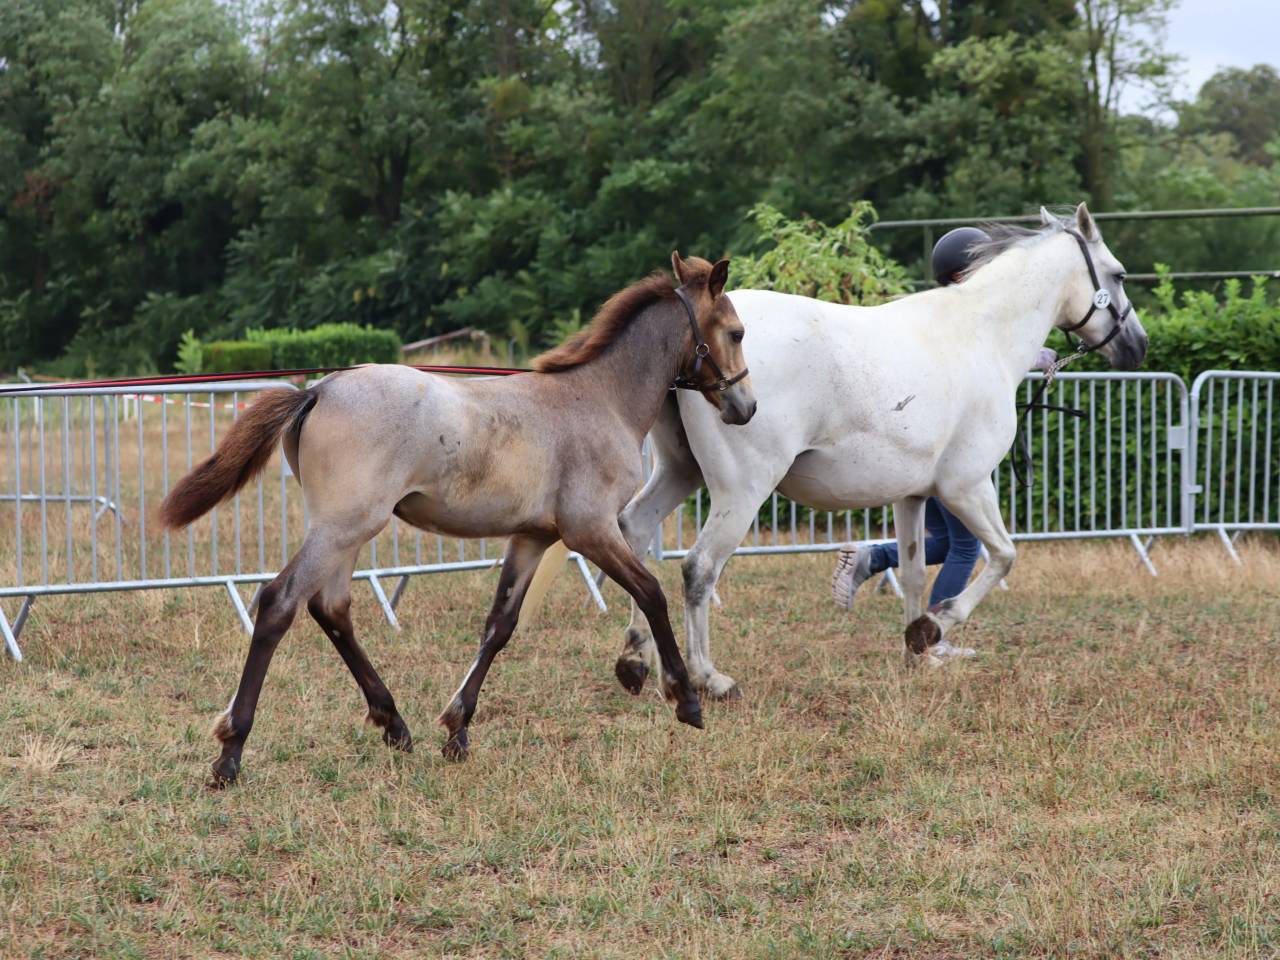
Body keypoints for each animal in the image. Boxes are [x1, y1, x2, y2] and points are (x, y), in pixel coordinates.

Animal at [159, 253, 756, 785]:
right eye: (737, 331)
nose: (745, 408)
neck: (598, 398)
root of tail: (318, 389)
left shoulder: (532, 538)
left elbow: (500, 626)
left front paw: (456, 729)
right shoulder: (591, 530)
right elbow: (651, 592)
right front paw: (684, 699)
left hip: (345, 530)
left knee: (331, 608)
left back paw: (393, 723)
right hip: (344, 527)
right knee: (279, 603)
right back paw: (231, 752)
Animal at [605, 204, 1148, 698]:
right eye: (1120, 274)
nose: (1138, 347)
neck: (981, 337)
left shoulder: (914, 496)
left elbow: (913, 573)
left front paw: (917, 648)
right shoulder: (967, 487)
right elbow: (1003, 556)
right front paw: (936, 625)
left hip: (681, 471)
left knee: (637, 532)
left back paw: (636, 660)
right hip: (741, 490)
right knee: (699, 568)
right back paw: (708, 678)